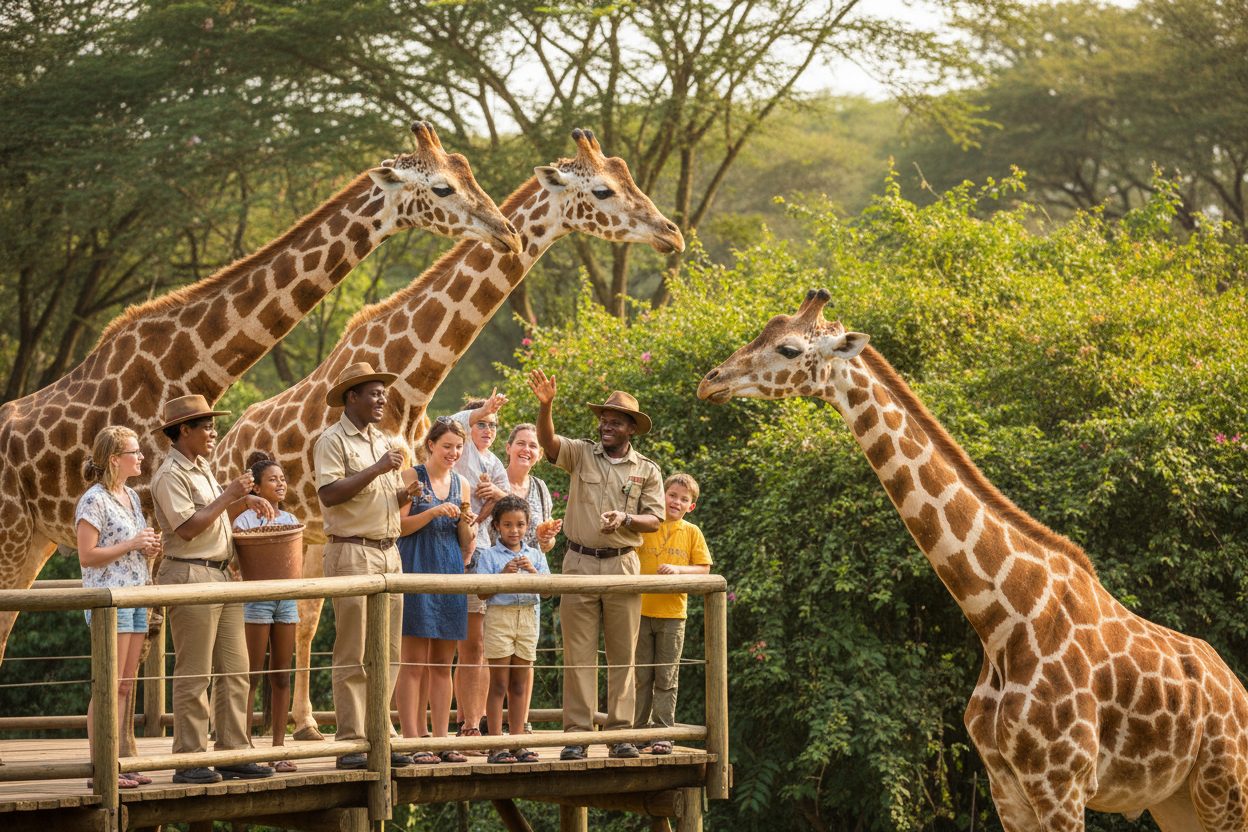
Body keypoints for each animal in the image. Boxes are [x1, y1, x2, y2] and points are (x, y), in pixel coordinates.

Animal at [0, 122, 518, 755]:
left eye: (468, 171)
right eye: (443, 186)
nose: (506, 231)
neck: (186, 365)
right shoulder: (148, 508)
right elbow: (149, 626)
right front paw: (143, 754)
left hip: (35, 543)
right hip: (10, 535)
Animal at [215, 128, 684, 740]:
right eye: (603, 190)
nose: (671, 232)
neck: (408, 386)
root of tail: (224, 445)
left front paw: (391, 730)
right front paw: (399, 730)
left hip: (311, 538)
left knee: (306, 618)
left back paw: (308, 725)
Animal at [698, 289, 1248, 832]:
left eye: (788, 348)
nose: (710, 382)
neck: (1002, 619)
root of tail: (1236, 689)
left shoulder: (1062, 786)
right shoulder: (1006, 788)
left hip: (1224, 792)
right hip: (1175, 800)